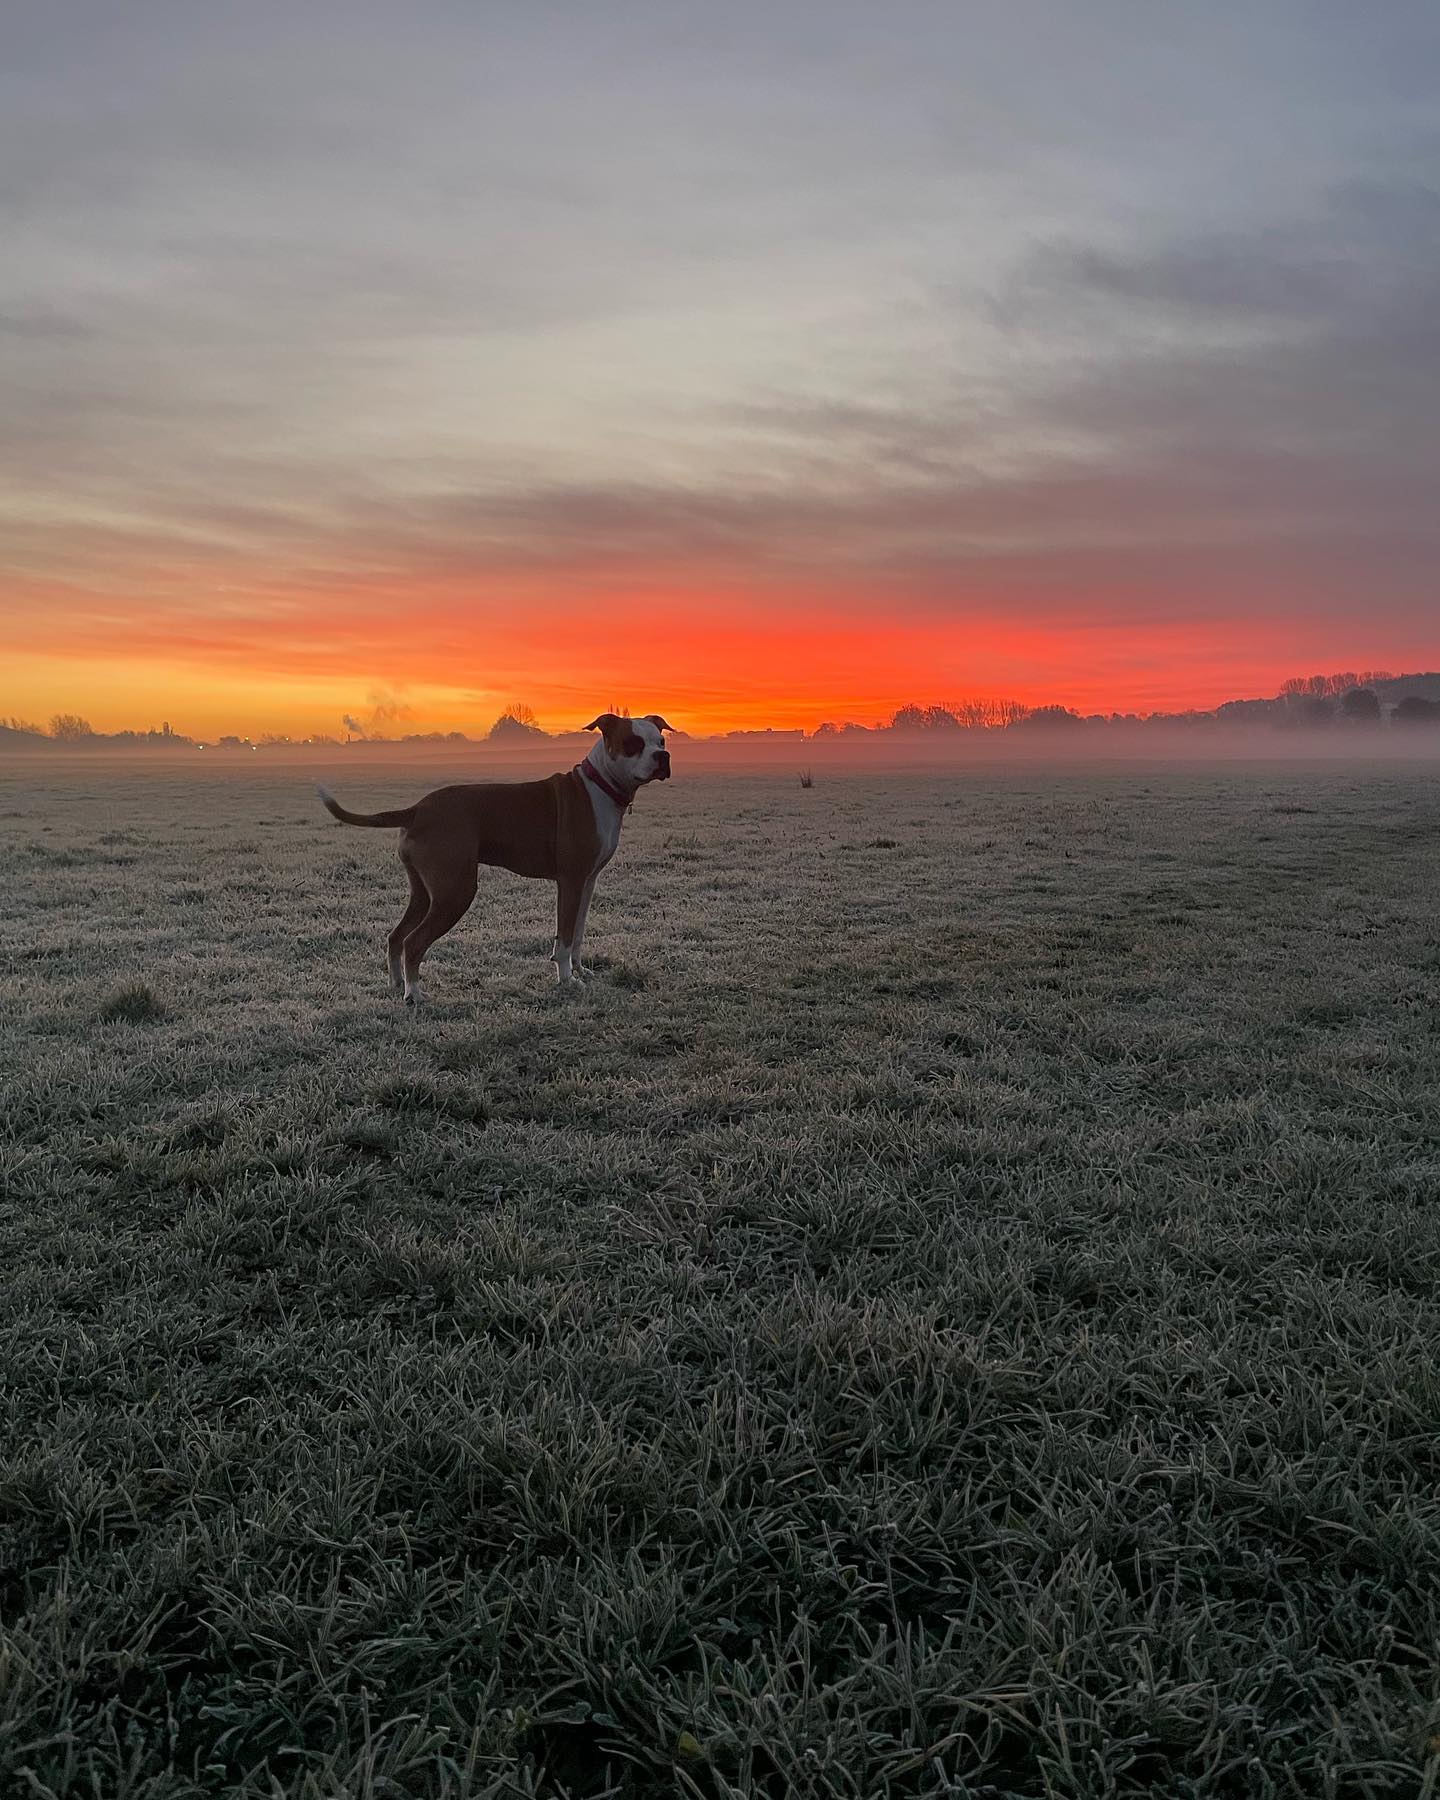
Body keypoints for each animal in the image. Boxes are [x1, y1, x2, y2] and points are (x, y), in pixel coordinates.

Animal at [318, 712, 673, 1000]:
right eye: (633, 743)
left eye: (660, 740)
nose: (663, 756)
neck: (600, 785)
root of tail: (418, 809)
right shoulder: (570, 883)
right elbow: (564, 938)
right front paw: (566, 980)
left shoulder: (587, 883)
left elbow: (578, 934)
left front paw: (580, 969)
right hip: (455, 893)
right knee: (413, 942)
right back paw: (414, 994)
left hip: (425, 893)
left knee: (396, 937)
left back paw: (396, 984)